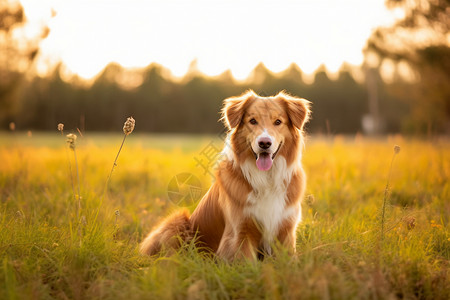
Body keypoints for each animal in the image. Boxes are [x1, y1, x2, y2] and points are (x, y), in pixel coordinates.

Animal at [140, 89, 310, 260]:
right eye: (253, 121)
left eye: (278, 122)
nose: (264, 143)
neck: (267, 177)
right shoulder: (240, 232)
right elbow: (247, 262)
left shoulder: (286, 230)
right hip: (176, 222)